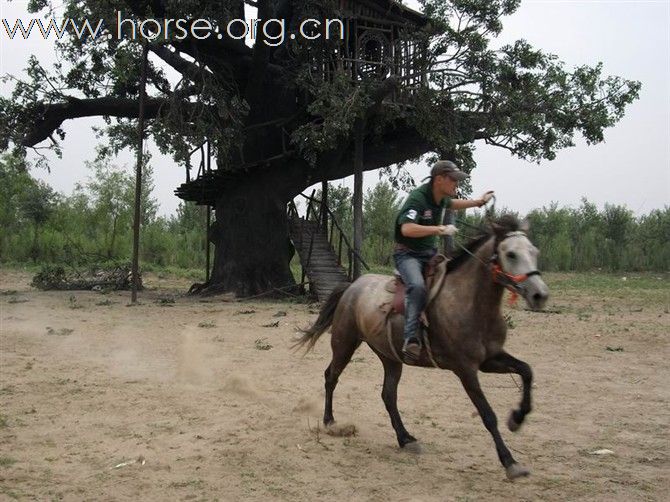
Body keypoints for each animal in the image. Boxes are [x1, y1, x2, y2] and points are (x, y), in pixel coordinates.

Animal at [296, 215, 548, 478]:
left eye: (534, 251)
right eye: (511, 254)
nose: (539, 295)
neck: (470, 303)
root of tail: (352, 286)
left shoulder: (490, 359)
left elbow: (527, 371)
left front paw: (517, 418)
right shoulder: (465, 369)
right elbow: (488, 414)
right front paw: (510, 461)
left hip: (390, 357)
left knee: (388, 395)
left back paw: (405, 438)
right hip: (345, 342)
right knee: (331, 376)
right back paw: (329, 421)